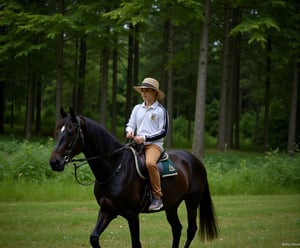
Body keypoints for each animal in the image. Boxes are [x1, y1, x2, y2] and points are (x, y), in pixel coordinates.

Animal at [48, 107, 218, 248]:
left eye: (71, 133)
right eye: (57, 132)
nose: (54, 162)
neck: (115, 169)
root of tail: (195, 161)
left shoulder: (132, 215)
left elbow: (136, 244)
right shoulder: (106, 210)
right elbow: (94, 238)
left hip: (192, 201)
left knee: (191, 230)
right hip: (172, 205)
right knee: (177, 229)